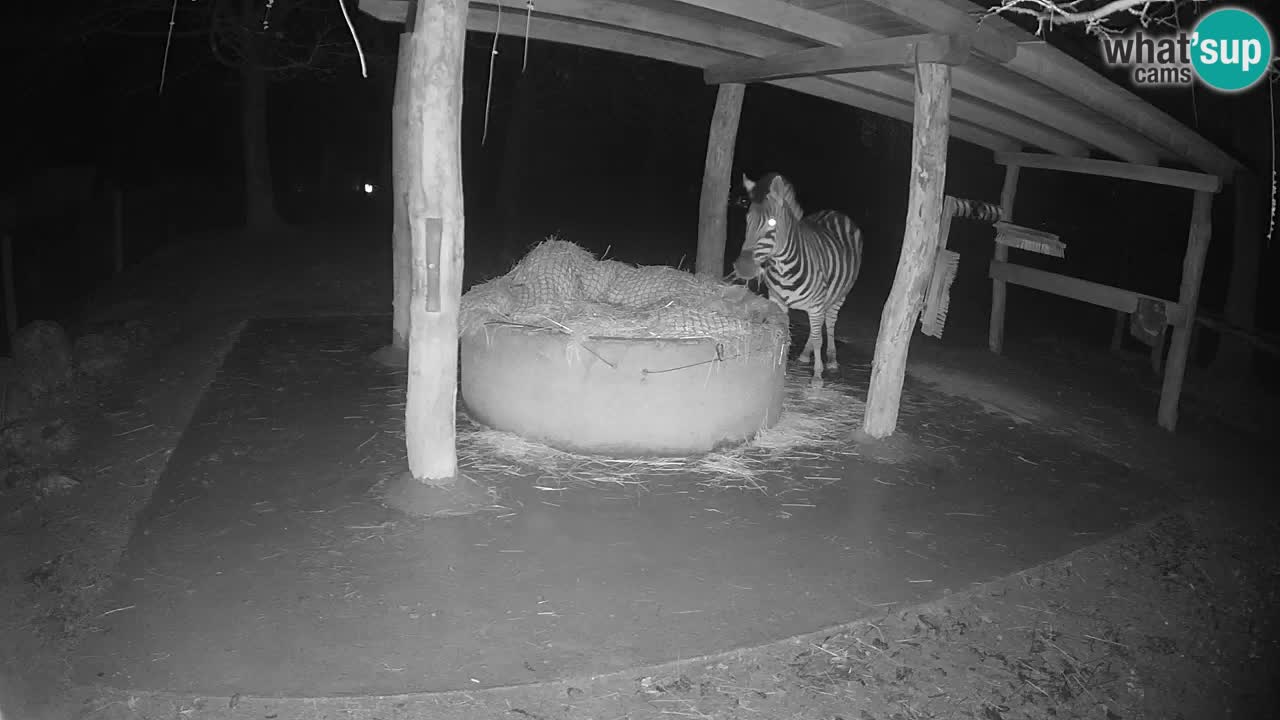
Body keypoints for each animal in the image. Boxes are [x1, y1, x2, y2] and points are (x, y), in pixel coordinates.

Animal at [732, 173, 864, 387]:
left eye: (772, 223)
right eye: (747, 219)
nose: (743, 267)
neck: (783, 268)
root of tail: (836, 213)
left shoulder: (816, 303)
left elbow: (819, 338)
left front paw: (817, 376)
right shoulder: (777, 301)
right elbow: (786, 332)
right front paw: (782, 366)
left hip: (840, 295)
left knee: (830, 322)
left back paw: (831, 359)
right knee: (819, 325)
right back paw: (804, 355)